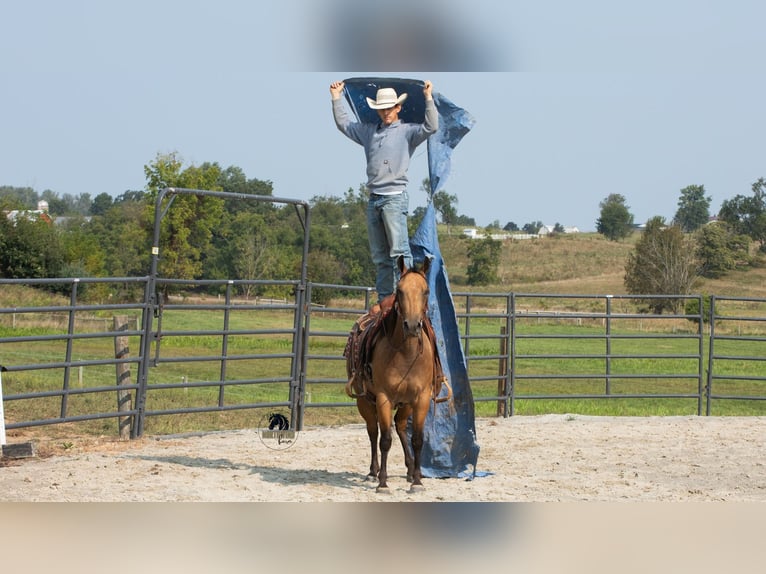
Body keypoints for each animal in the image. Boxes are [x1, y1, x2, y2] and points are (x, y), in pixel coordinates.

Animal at [346, 256, 451, 493]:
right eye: (400, 291)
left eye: (426, 291)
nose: (412, 325)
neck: (406, 354)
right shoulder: (383, 397)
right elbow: (385, 439)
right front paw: (383, 482)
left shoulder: (421, 398)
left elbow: (417, 439)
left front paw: (418, 481)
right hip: (365, 401)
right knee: (373, 431)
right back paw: (373, 472)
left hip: (406, 404)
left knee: (401, 427)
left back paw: (411, 470)